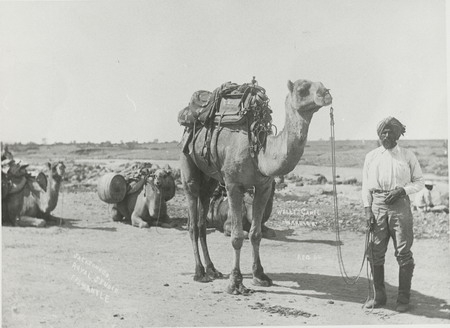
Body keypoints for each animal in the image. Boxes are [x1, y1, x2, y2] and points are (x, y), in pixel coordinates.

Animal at [179, 79, 330, 294]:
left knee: (202, 218)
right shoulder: (233, 185)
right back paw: (199, 273)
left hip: (210, 179)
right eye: (302, 90)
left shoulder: (263, 186)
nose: (326, 94)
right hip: (187, 160)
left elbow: (256, 234)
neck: (259, 151)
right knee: (192, 219)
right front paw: (235, 282)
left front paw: (260, 276)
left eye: (323, 84)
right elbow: (236, 236)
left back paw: (212, 269)